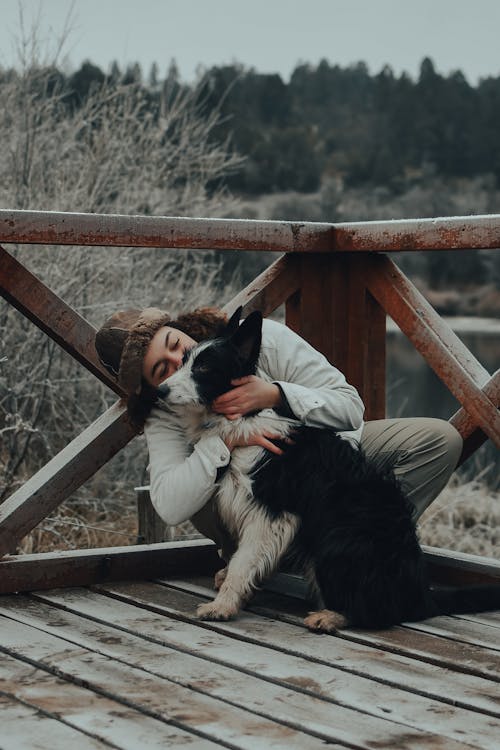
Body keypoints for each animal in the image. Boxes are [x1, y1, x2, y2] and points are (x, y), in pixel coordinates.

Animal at [158, 308, 500, 632]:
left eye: (204, 368)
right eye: (184, 361)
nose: (159, 391)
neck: (244, 418)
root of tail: (419, 594)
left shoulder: (271, 514)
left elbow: (244, 561)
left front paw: (223, 605)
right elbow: (241, 558)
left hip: (338, 540)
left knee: (379, 613)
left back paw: (333, 616)